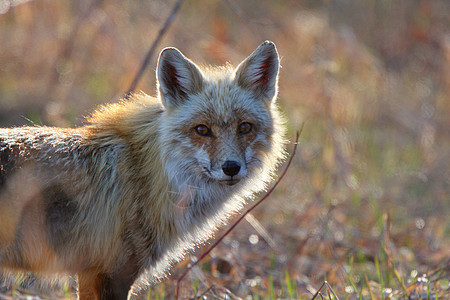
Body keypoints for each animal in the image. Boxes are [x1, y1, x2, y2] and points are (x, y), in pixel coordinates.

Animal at [0, 41, 286, 298]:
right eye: (202, 129)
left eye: (245, 127)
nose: (231, 168)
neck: (143, 174)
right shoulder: (111, 273)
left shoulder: (92, 273)